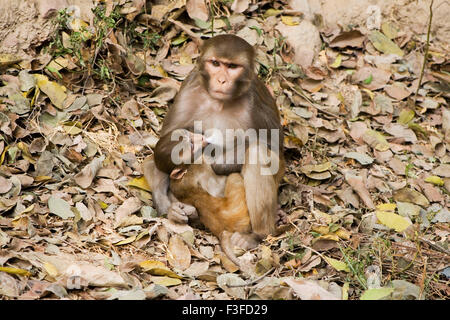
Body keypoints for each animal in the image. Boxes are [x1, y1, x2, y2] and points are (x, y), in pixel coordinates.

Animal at [143, 33, 284, 255]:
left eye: (232, 66)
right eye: (216, 63)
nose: (221, 80)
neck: (220, 103)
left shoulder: (257, 102)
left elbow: (274, 148)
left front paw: (216, 161)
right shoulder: (188, 91)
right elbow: (164, 143)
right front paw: (171, 209)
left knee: (257, 152)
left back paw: (258, 235)